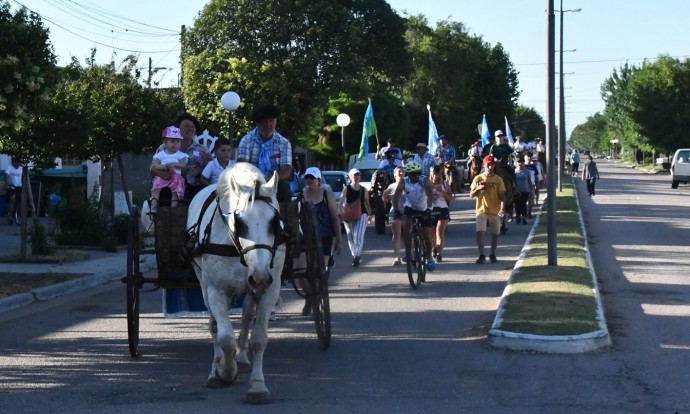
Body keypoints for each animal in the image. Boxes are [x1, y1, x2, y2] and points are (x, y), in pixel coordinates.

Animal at [185, 162, 284, 404]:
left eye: (274, 222)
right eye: (240, 222)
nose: (260, 276)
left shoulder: (270, 288)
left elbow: (259, 338)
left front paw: (257, 387)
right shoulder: (216, 291)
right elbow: (225, 337)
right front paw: (224, 372)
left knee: (247, 315)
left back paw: (242, 358)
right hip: (204, 282)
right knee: (214, 325)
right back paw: (216, 368)